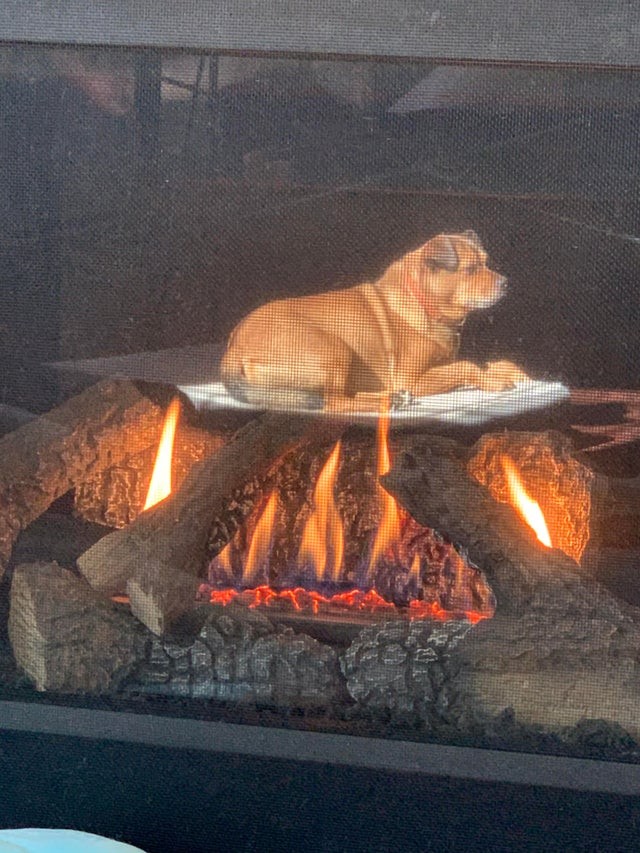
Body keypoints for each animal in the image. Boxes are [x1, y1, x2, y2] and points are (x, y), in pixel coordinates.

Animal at [221, 228, 528, 412]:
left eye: (487, 262)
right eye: (471, 269)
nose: (507, 283)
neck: (423, 303)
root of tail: (235, 346)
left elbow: (491, 364)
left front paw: (510, 372)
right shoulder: (410, 377)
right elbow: (467, 366)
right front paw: (493, 381)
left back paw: (392, 399)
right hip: (334, 348)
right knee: (335, 403)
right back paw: (390, 399)